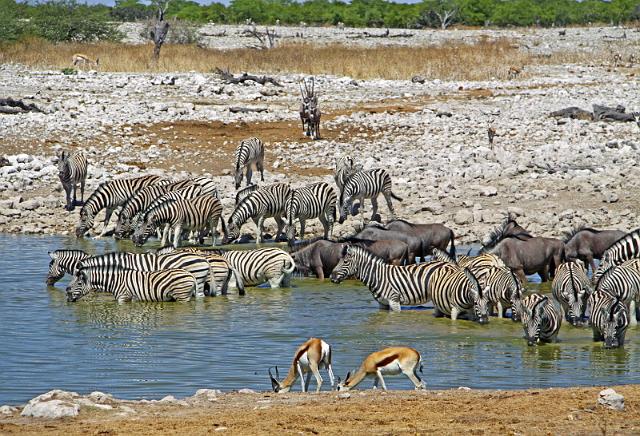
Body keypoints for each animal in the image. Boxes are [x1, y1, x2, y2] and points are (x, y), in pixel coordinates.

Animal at [66, 266, 198, 304]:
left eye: (79, 283)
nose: (67, 295)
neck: (114, 280)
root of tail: (191, 275)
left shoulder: (123, 298)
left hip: (182, 296)